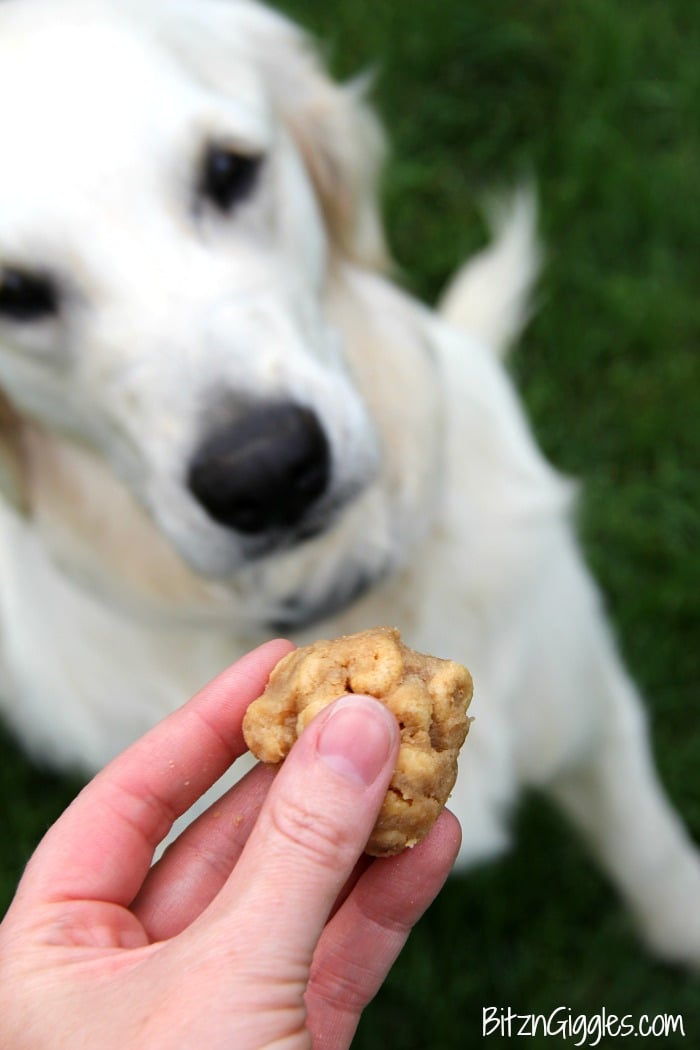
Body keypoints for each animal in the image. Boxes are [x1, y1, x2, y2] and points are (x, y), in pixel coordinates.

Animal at [1, 0, 700, 965]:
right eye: (13, 292)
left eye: (229, 170)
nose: (265, 471)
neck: (336, 586)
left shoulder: (598, 712)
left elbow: (657, 860)